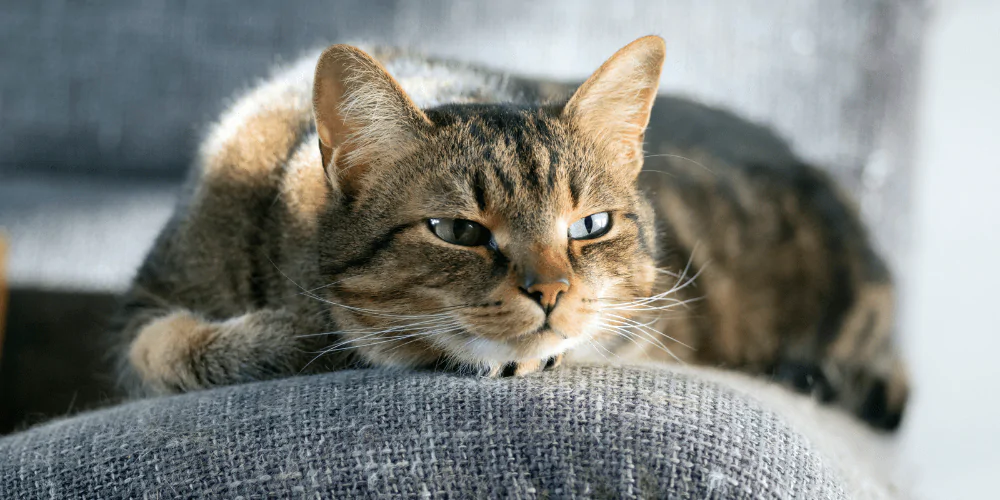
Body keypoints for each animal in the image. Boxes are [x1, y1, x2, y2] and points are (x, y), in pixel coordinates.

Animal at [113, 36, 912, 430]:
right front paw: (287, 338)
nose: (551, 291)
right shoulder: (144, 313)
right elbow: (171, 348)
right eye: (456, 231)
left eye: (590, 226)